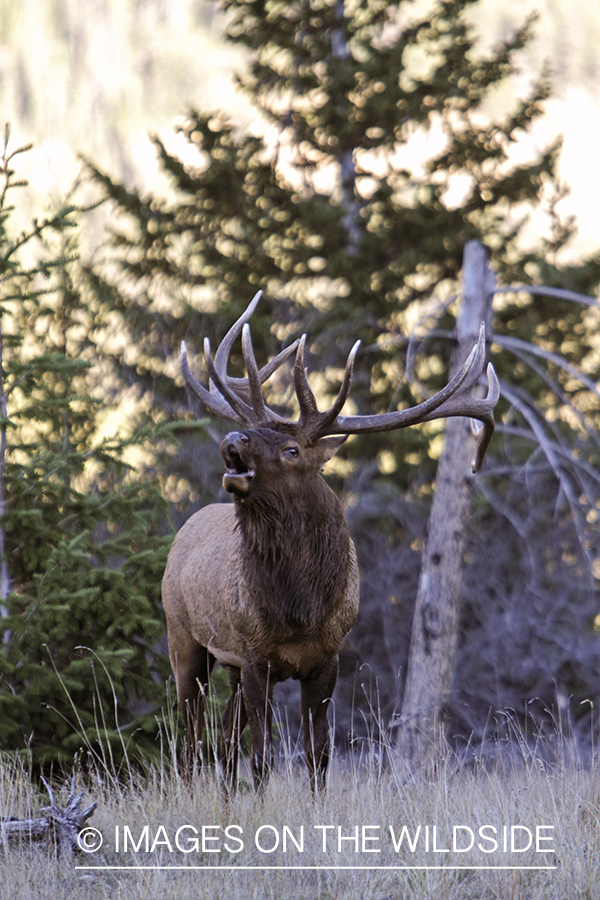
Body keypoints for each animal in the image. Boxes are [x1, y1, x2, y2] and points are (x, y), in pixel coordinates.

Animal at [162, 292, 500, 792]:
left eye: (292, 449)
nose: (232, 439)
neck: (299, 610)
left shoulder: (327, 658)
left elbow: (317, 755)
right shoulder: (255, 655)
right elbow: (262, 758)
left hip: (228, 665)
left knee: (222, 740)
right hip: (183, 636)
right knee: (190, 740)